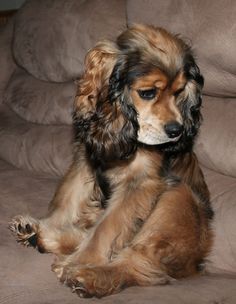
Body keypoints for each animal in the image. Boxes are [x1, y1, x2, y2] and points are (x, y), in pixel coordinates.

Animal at [9, 23, 213, 296]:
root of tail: (197, 264)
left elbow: (107, 228)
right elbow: (66, 202)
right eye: (148, 93)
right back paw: (39, 234)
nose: (176, 130)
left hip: (178, 199)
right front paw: (48, 224)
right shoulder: (85, 162)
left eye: (179, 91)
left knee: (137, 263)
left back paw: (87, 276)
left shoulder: (140, 184)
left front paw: (79, 263)